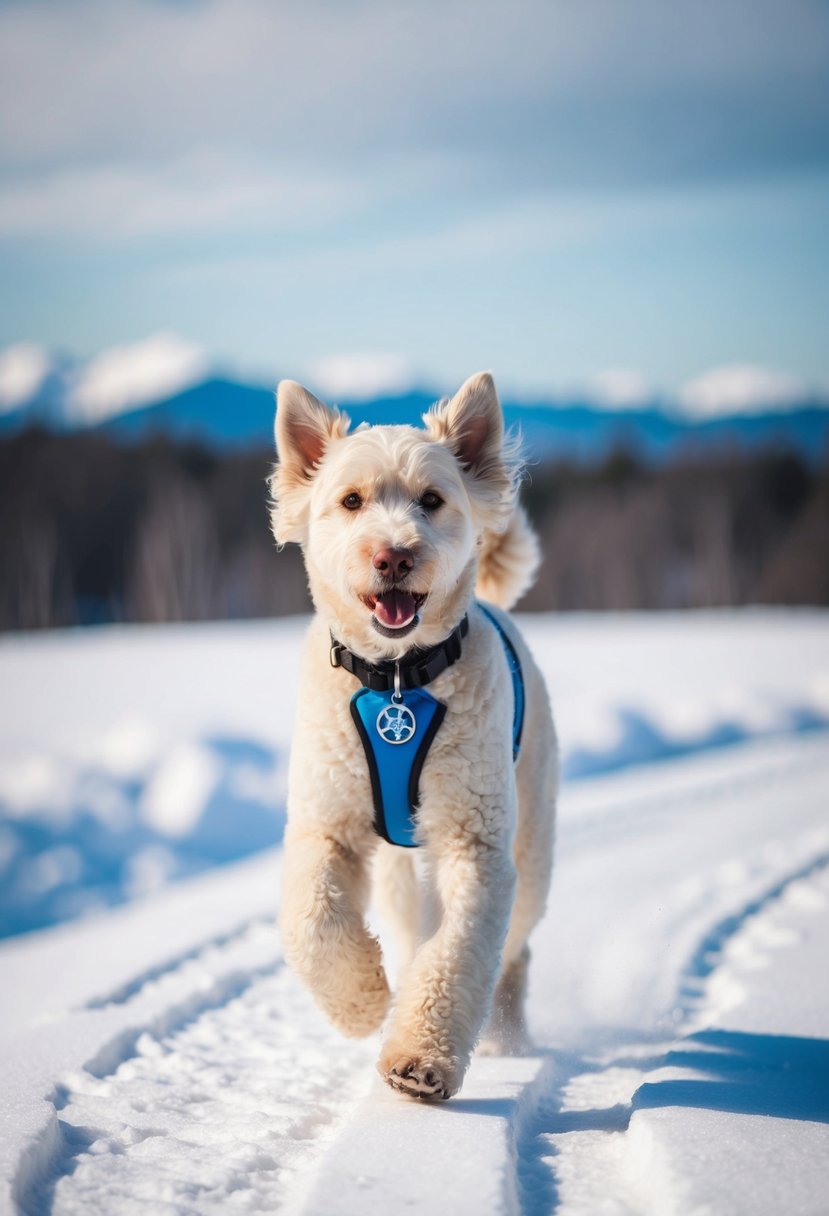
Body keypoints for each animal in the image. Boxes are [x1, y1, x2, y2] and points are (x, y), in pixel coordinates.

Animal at [269, 369, 554, 1104]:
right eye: (350, 500)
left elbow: (456, 954)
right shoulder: (325, 826)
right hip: (401, 871)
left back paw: (507, 1035)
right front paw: (362, 1001)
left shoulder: (474, 845)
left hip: (530, 845)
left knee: (514, 949)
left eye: (431, 500)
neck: (396, 678)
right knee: (407, 930)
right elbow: (311, 922)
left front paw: (420, 1059)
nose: (393, 555)